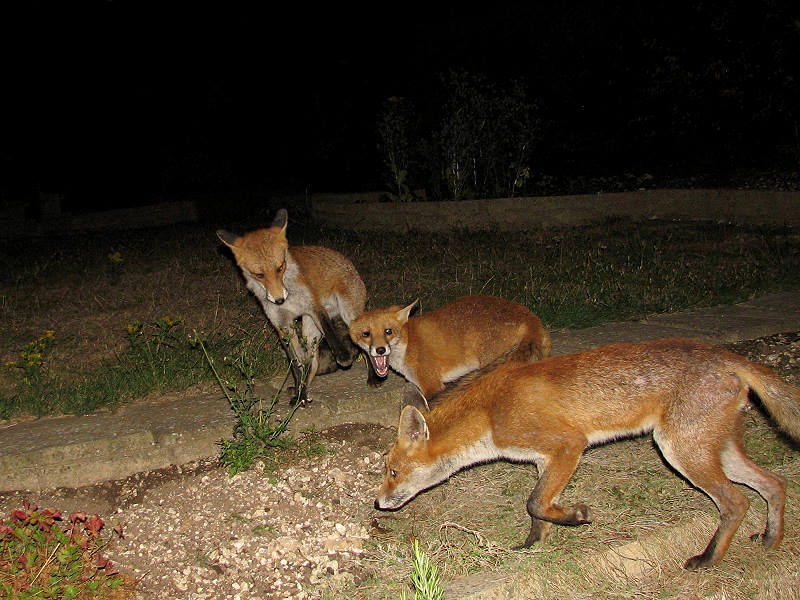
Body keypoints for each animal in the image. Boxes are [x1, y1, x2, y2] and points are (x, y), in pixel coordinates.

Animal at [216, 209, 378, 400]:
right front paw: (299, 391)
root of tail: (349, 263)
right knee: (311, 363)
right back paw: (301, 393)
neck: (289, 298)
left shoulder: (315, 308)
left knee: (364, 347)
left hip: (347, 315)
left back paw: (374, 376)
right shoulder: (282, 324)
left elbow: (330, 333)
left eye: (280, 267)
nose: (279, 300)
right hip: (309, 332)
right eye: (259, 275)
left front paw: (343, 356)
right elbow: (296, 365)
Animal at [348, 292, 552, 406]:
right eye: (366, 334)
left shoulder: (432, 384)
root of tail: (530, 317)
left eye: (388, 331)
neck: (408, 343)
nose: (380, 350)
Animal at [376, 340, 800, 568]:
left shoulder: (569, 445)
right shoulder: (544, 460)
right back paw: (771, 540)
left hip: (682, 452)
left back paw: (708, 560)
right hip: (716, 452)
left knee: (736, 503)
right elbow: (539, 511)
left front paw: (576, 516)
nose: (378, 503)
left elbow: (534, 503)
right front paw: (534, 545)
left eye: (392, 472)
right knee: (775, 484)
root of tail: (725, 356)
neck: (490, 412)